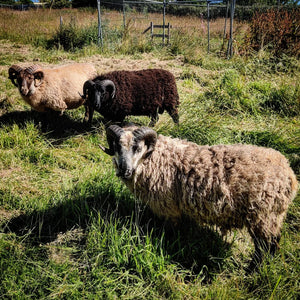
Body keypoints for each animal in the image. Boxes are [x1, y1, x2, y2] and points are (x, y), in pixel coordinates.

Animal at [100, 124, 298, 270]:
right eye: (116, 147)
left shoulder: (169, 209)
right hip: (272, 216)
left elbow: (171, 232)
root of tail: (290, 175)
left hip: (263, 215)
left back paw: (252, 270)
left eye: (137, 147)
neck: (156, 159)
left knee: (266, 246)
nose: (124, 171)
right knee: (272, 243)